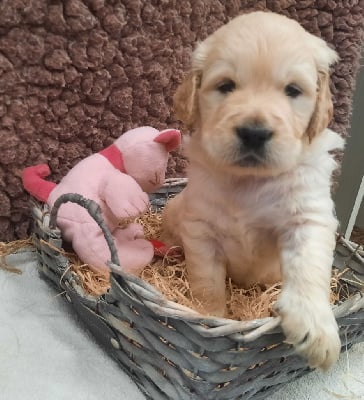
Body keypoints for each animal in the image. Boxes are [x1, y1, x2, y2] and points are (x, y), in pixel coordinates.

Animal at [162, 10, 344, 370]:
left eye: (293, 90)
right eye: (225, 86)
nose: (254, 133)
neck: (248, 180)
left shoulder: (309, 217)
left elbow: (308, 268)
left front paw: (316, 330)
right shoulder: (201, 229)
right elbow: (207, 284)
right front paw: (209, 318)